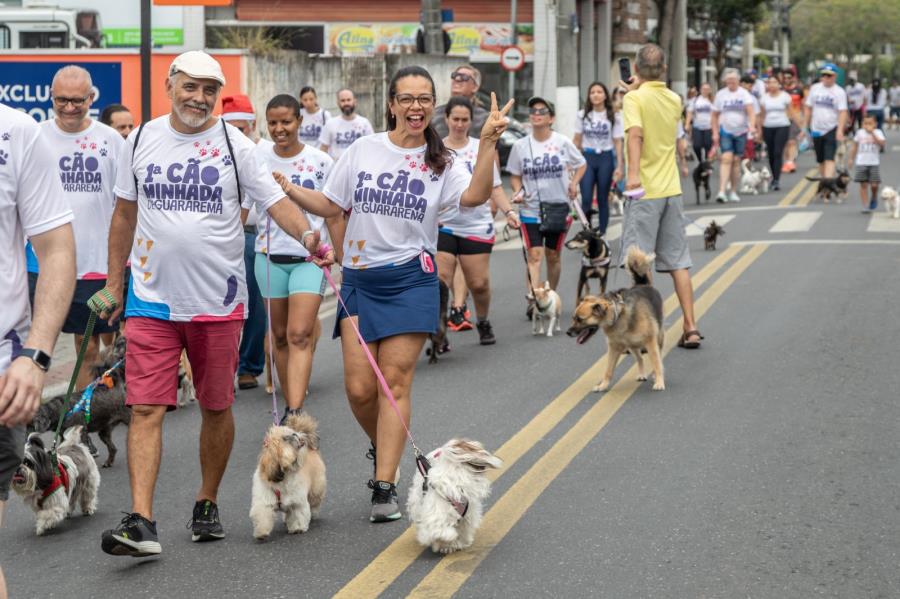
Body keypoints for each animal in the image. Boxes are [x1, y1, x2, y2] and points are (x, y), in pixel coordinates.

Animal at [250, 412, 326, 540]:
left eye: (292, 432)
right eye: (286, 438)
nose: (296, 434)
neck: (283, 478)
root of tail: (312, 449)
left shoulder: (297, 502)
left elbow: (298, 515)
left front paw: (297, 529)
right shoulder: (264, 501)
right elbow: (262, 516)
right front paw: (261, 533)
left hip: (315, 490)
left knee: (314, 503)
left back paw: (313, 513)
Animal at [568, 245, 664, 392]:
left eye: (580, 319)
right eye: (574, 318)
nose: (568, 332)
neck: (618, 315)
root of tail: (642, 284)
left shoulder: (650, 342)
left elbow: (657, 363)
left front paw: (659, 381)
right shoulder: (614, 348)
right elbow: (608, 370)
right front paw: (603, 385)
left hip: (657, 339)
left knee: (658, 357)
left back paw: (654, 374)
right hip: (632, 345)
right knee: (640, 358)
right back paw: (642, 374)